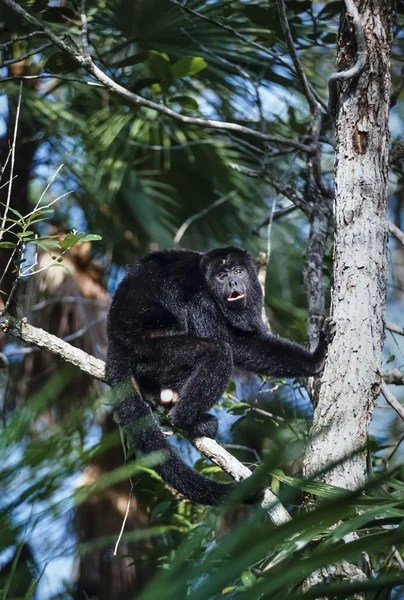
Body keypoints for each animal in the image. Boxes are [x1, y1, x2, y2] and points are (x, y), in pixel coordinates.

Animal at [105, 247, 334, 506]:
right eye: (221, 276)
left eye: (237, 271)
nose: (233, 282)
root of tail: (116, 341)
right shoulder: (199, 299)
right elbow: (231, 343)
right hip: (152, 354)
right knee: (218, 352)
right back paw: (186, 419)